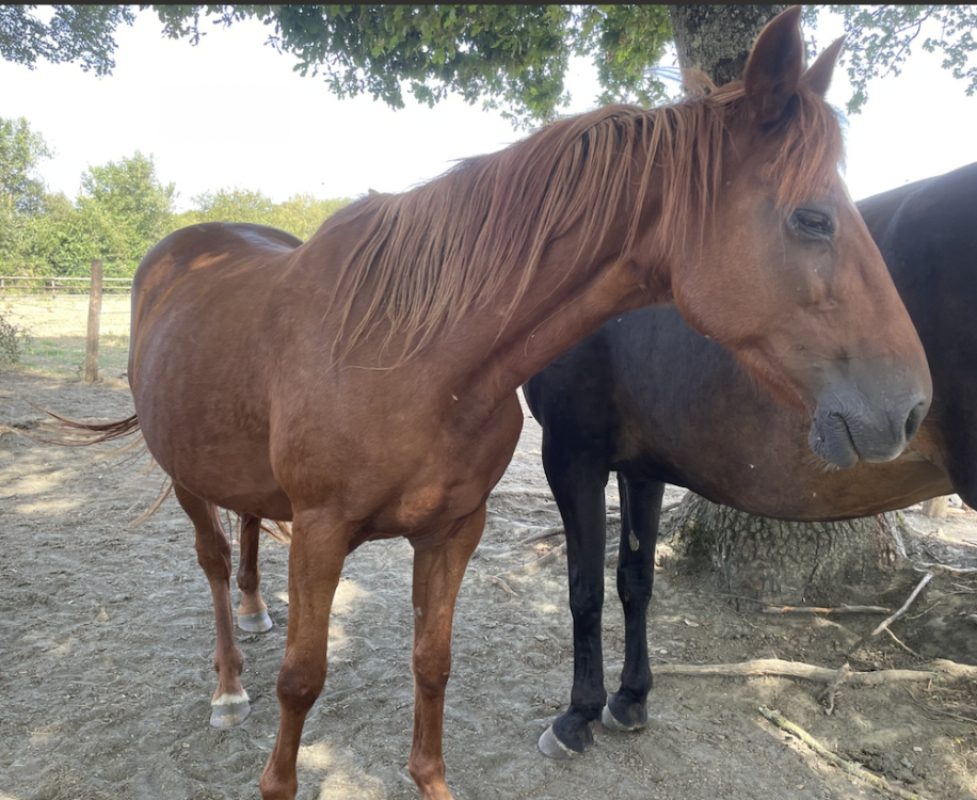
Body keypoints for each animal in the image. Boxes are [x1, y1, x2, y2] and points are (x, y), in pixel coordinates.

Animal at [58, 8, 931, 798]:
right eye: (812, 219)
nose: (912, 408)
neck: (415, 355)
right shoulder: (322, 534)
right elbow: (302, 680)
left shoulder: (454, 531)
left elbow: (432, 663)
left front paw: (431, 779)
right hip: (184, 475)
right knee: (210, 562)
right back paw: (229, 684)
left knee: (242, 533)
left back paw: (250, 611)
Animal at [522, 159, 977, 760]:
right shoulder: (639, 470)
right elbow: (634, 581)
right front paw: (630, 699)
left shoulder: (573, 457)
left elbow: (585, 591)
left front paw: (577, 717)